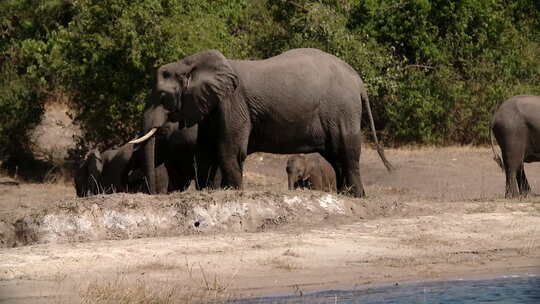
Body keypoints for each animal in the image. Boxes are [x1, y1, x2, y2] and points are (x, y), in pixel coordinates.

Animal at [131, 46, 392, 196]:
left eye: (162, 95)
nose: (153, 194)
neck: (190, 64)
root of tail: (358, 81)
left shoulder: (233, 102)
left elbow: (228, 150)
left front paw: (234, 194)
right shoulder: (213, 105)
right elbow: (206, 150)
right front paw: (210, 193)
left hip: (342, 110)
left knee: (346, 152)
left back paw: (355, 197)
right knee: (337, 157)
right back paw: (344, 196)